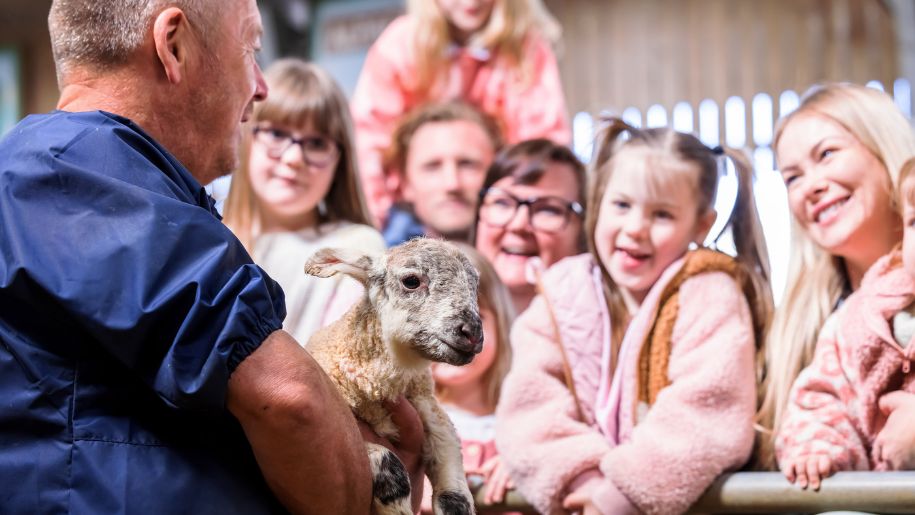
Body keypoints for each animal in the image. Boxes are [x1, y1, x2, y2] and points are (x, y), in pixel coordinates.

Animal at [303, 238, 483, 515]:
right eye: (411, 281)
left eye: (475, 285)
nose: (472, 332)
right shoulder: (331, 435)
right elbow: (392, 468)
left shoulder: (435, 419)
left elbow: (456, 499)